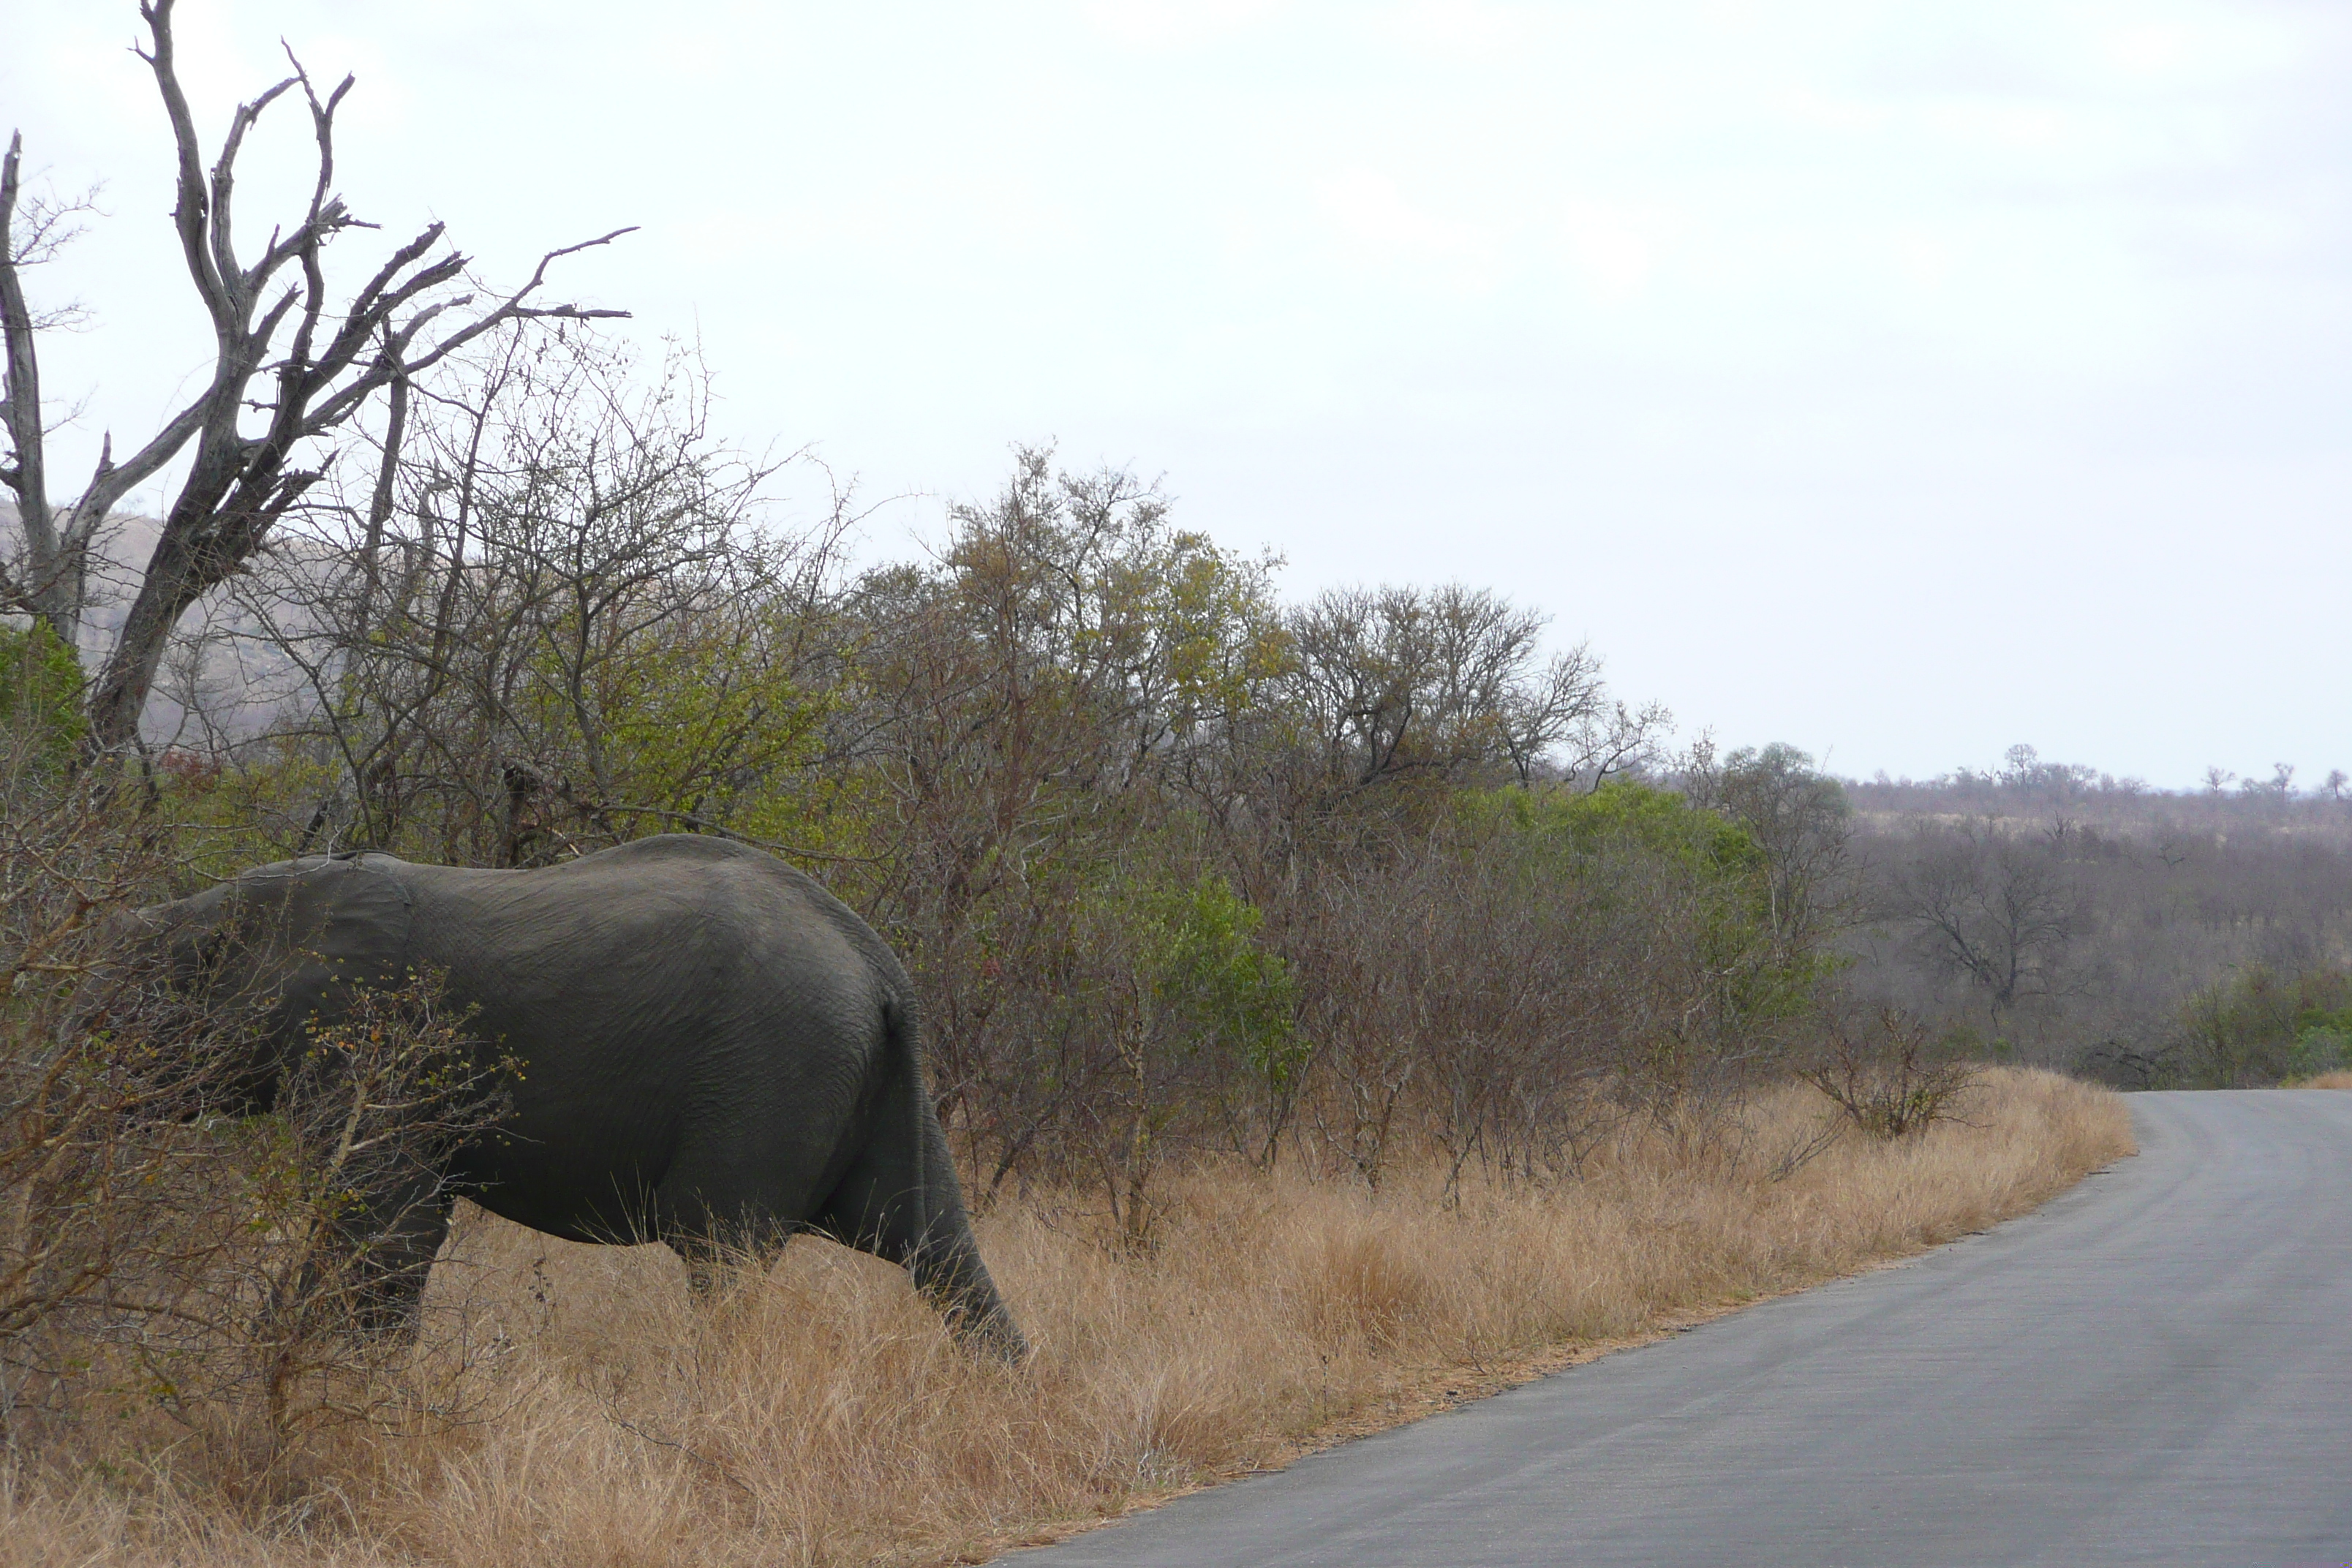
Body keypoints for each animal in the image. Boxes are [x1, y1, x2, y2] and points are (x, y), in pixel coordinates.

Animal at [137, 832, 1020, 1363]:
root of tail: (881, 968)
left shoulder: (368, 1042)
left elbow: (385, 1217)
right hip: (869, 1084)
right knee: (936, 1246)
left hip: (774, 1071)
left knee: (720, 1250)